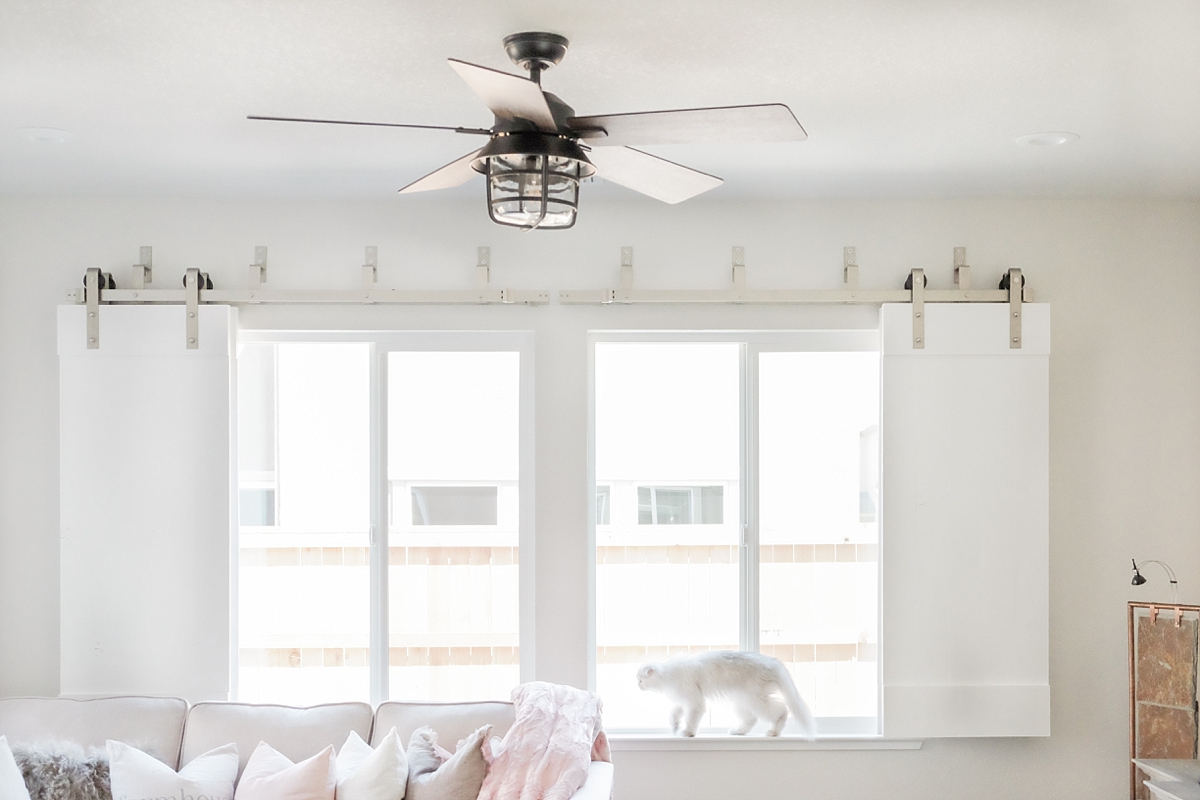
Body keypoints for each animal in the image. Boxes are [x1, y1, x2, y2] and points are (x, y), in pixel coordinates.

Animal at [638, 652, 816, 738]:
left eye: (640, 679)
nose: (637, 685)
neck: (667, 674)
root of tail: (773, 662)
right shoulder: (684, 701)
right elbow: (674, 714)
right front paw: (675, 726)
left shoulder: (694, 701)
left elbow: (691, 720)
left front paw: (688, 732)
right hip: (742, 700)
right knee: (752, 719)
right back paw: (738, 731)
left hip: (755, 699)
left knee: (782, 710)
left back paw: (774, 731)